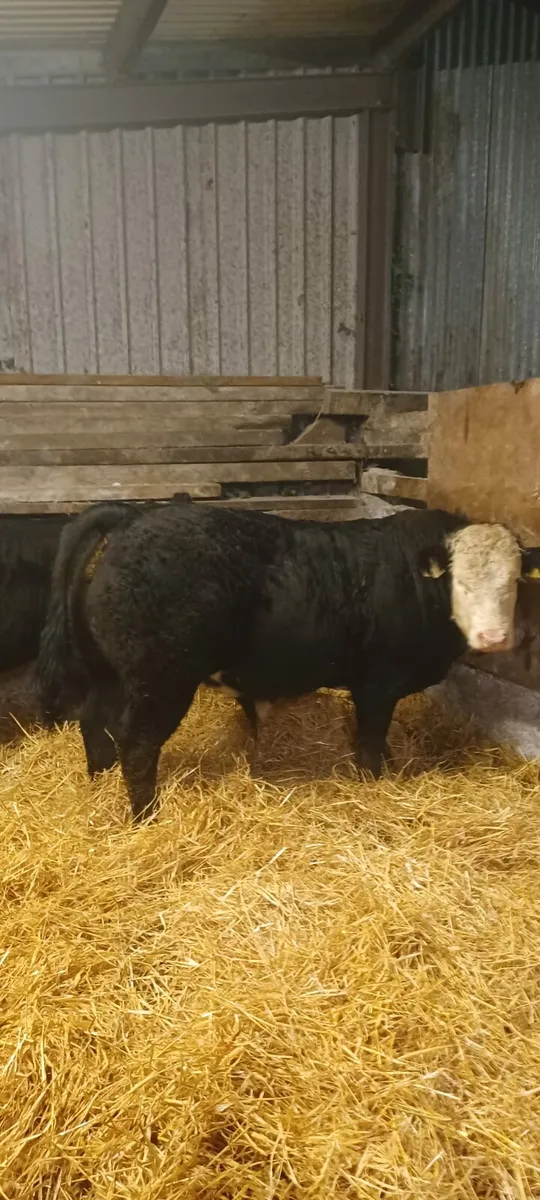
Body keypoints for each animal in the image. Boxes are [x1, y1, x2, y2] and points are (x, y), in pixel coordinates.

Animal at [37, 500, 540, 824]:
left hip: (109, 673)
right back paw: (146, 815)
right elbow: (370, 743)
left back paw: (100, 781)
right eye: (461, 582)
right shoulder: (377, 684)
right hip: (161, 681)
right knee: (137, 743)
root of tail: (134, 515)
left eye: (514, 581)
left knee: (94, 722)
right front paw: (374, 784)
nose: (494, 637)